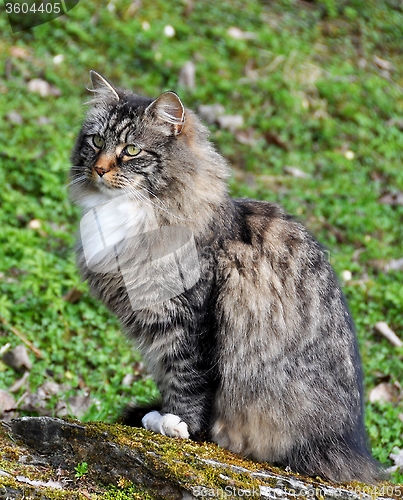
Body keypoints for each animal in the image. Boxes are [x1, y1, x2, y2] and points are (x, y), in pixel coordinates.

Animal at [69, 70, 382, 484]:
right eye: (97, 141)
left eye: (132, 150)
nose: (99, 169)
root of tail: (353, 446)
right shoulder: (157, 333)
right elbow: (170, 377)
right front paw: (162, 418)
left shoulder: (189, 322)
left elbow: (188, 383)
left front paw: (178, 426)